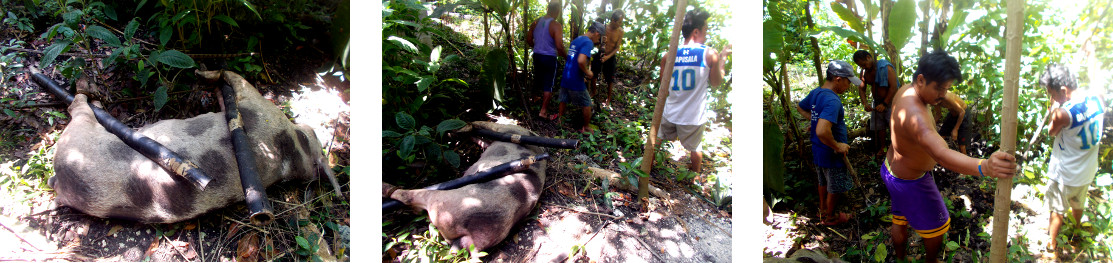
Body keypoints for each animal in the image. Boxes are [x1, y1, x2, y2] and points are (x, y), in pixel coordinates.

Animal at [52, 70, 329, 222]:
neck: (289, 147)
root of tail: (61, 181)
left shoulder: (258, 108)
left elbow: (237, 79)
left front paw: (203, 74)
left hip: (77, 138)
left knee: (78, 109)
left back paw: (83, 91)